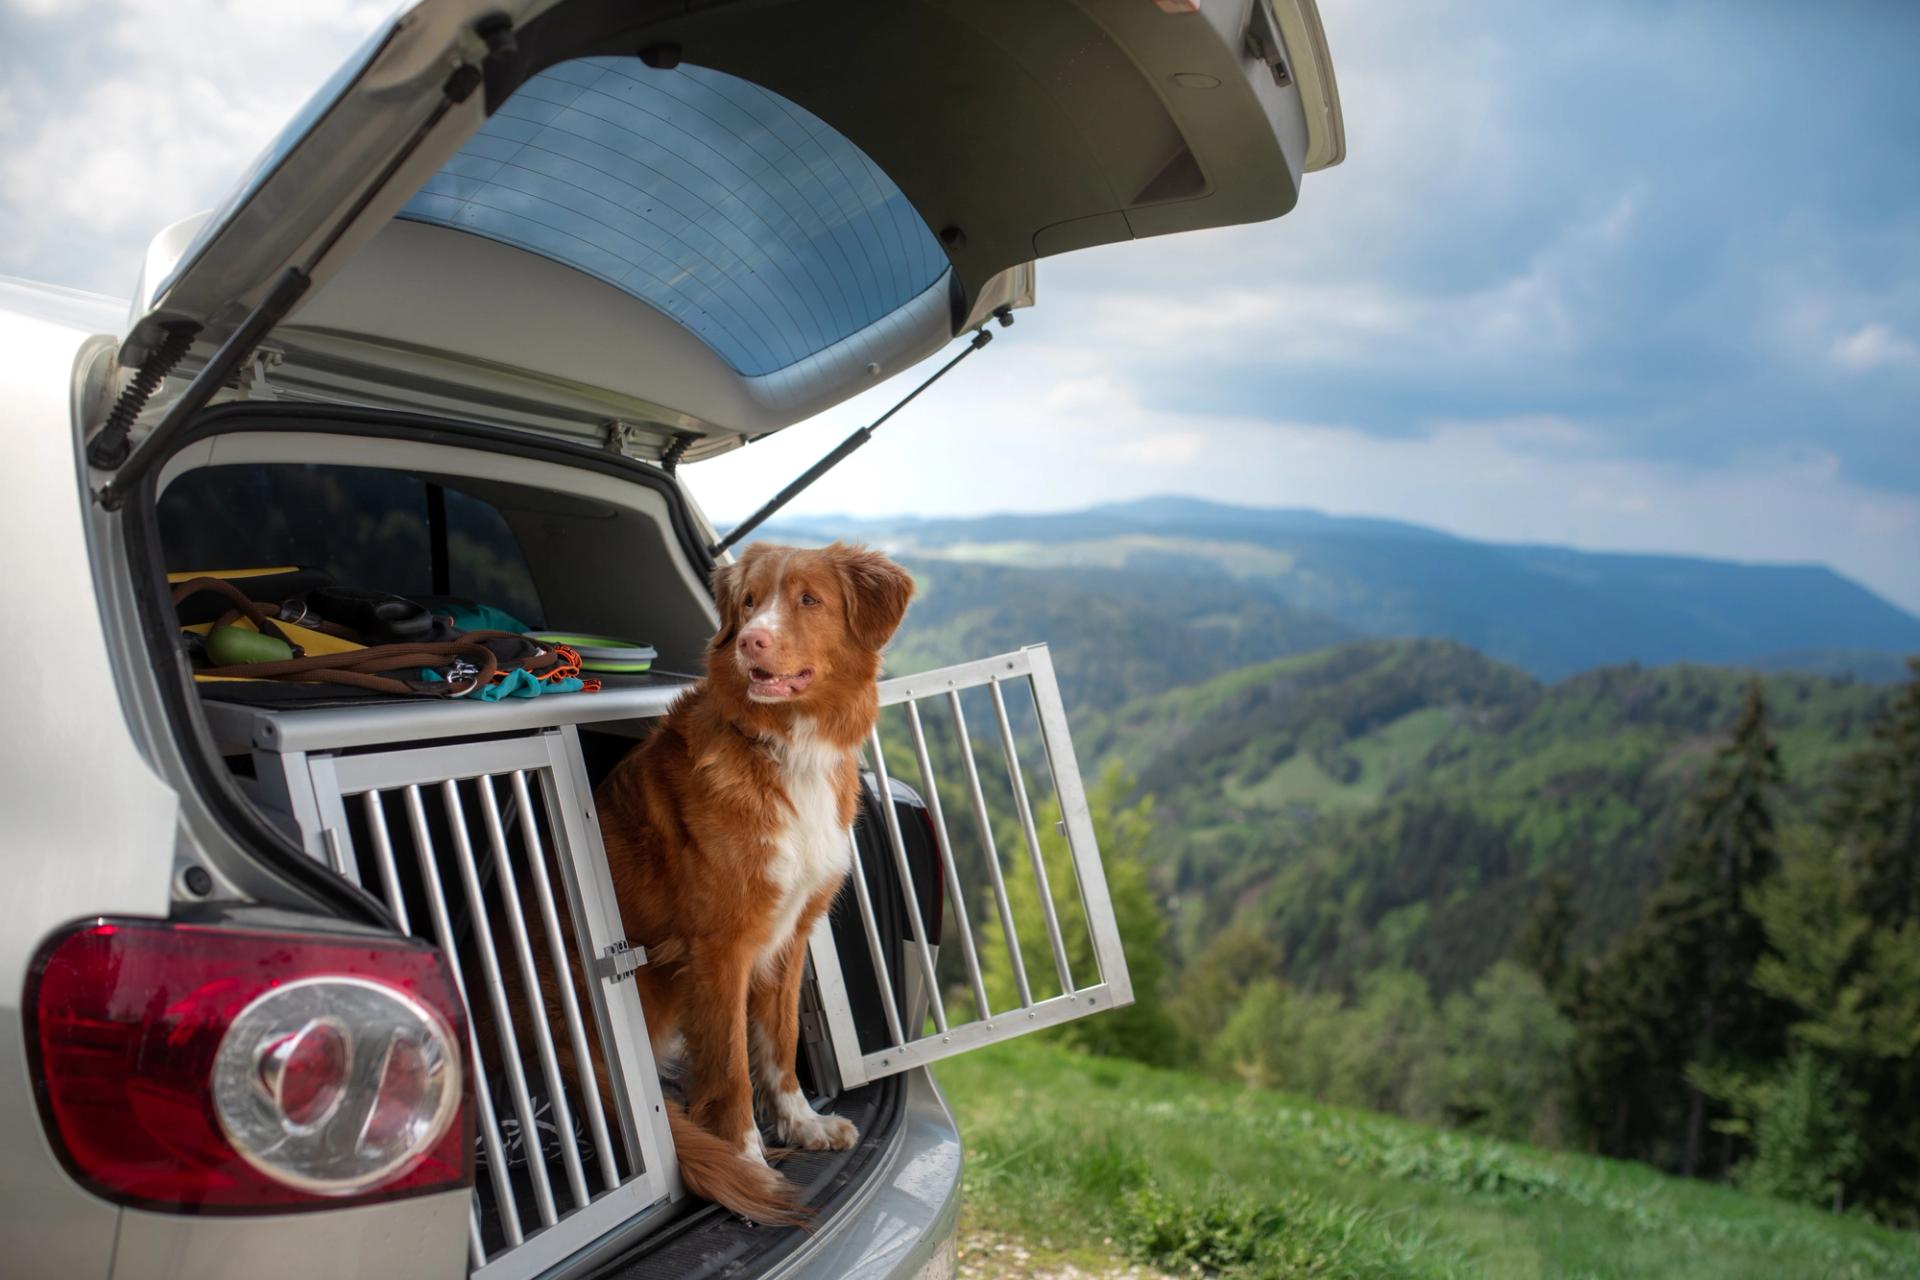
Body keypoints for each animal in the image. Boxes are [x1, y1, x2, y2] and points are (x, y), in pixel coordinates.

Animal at [591, 537, 913, 1220]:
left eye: (809, 600)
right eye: (748, 603)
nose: (750, 642)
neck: (789, 746)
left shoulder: (791, 934)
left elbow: (780, 1040)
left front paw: (801, 1123)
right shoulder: (721, 949)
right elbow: (734, 1066)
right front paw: (747, 1158)